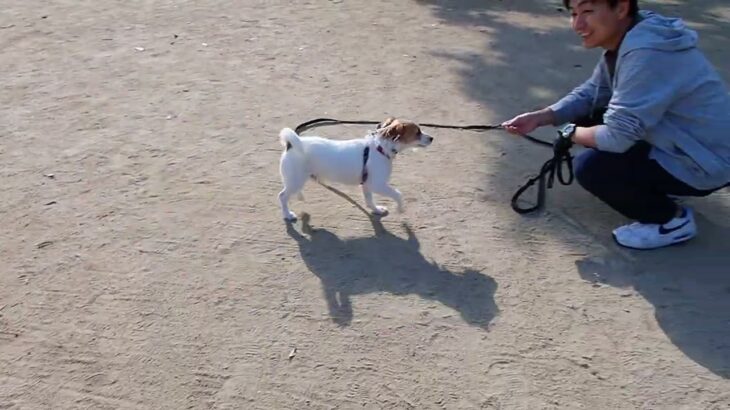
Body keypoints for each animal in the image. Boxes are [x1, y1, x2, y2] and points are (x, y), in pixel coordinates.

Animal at [276, 117, 430, 221]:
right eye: (417, 132)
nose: (432, 138)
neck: (380, 148)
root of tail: (291, 145)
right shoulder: (377, 185)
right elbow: (398, 194)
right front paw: (400, 208)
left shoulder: (367, 184)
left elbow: (369, 200)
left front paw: (376, 210)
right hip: (296, 179)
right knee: (282, 196)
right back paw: (287, 214)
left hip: (298, 178)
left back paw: (299, 196)